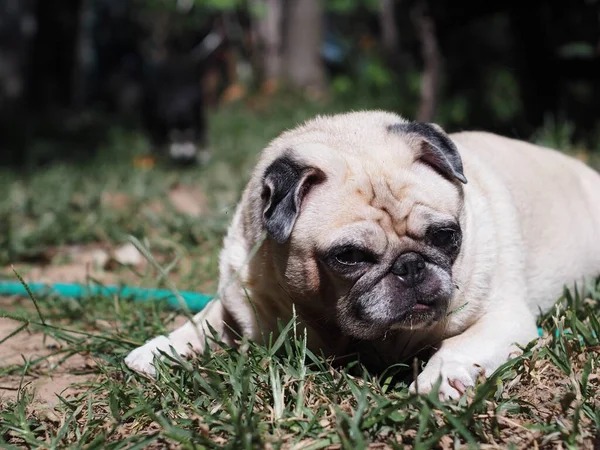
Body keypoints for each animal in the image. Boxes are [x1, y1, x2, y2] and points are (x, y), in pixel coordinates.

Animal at [124, 110, 596, 400]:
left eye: (447, 237)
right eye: (350, 256)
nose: (411, 265)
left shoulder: (504, 317)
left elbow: (461, 345)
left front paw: (439, 380)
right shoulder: (242, 299)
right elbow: (203, 320)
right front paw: (159, 349)